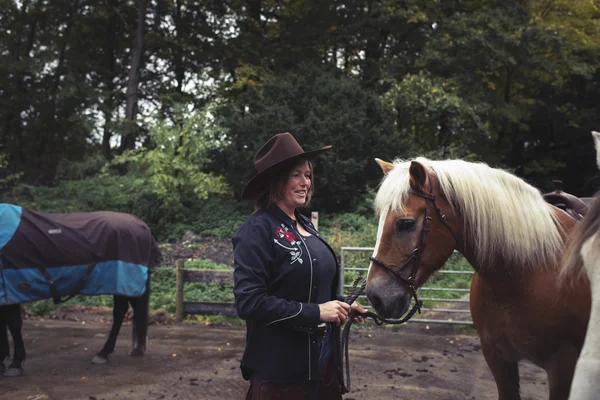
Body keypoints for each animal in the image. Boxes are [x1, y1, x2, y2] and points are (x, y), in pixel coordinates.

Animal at [0, 205, 162, 376]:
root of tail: (142, 226)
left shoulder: (10, 288)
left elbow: (13, 324)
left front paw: (15, 364)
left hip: (125, 282)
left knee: (121, 312)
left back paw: (104, 353)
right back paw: (134, 349)